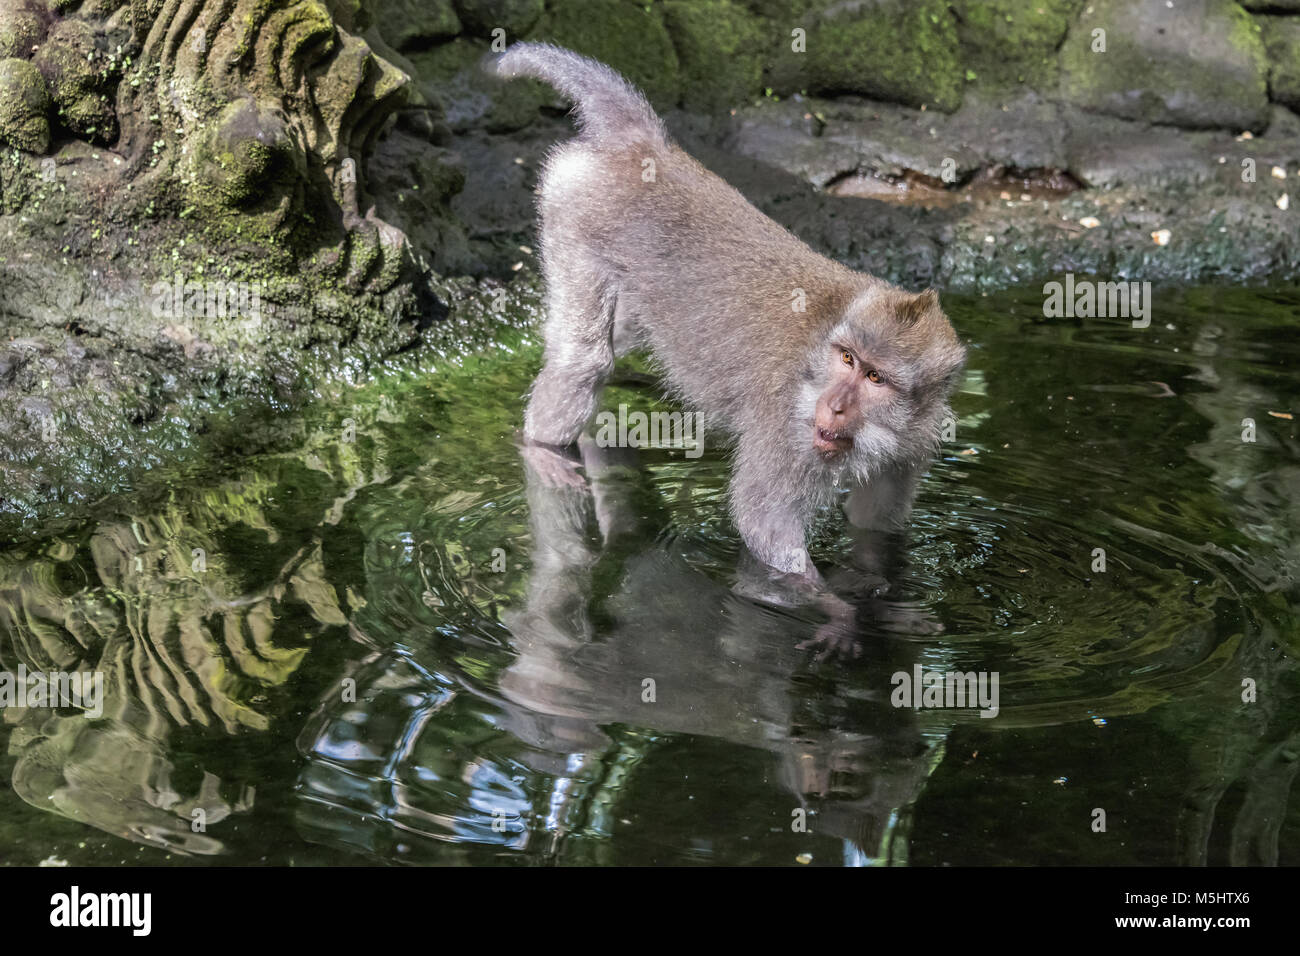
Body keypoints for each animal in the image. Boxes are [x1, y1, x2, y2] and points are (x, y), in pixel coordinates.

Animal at [488, 42, 967, 613]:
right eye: (848, 359)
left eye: (875, 377)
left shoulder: (914, 442)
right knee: (584, 359)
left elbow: (872, 523)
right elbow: (764, 522)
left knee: (621, 338)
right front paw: (833, 609)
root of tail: (645, 145)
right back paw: (541, 454)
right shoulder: (786, 424)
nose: (834, 406)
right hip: (575, 214)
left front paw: (879, 591)